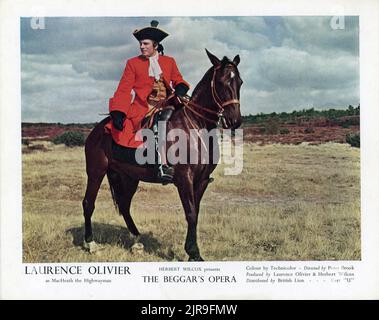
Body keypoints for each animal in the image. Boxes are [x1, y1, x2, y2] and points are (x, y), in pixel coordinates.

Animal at [83, 49, 243, 260]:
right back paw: (90, 243)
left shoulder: (201, 181)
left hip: (128, 177)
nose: (234, 121)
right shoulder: (185, 179)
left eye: (240, 82)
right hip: (96, 171)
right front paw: (193, 252)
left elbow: (196, 213)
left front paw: (193, 252)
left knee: (124, 206)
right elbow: (191, 214)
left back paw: (137, 240)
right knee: (88, 203)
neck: (196, 126)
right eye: (221, 82)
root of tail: (96, 130)